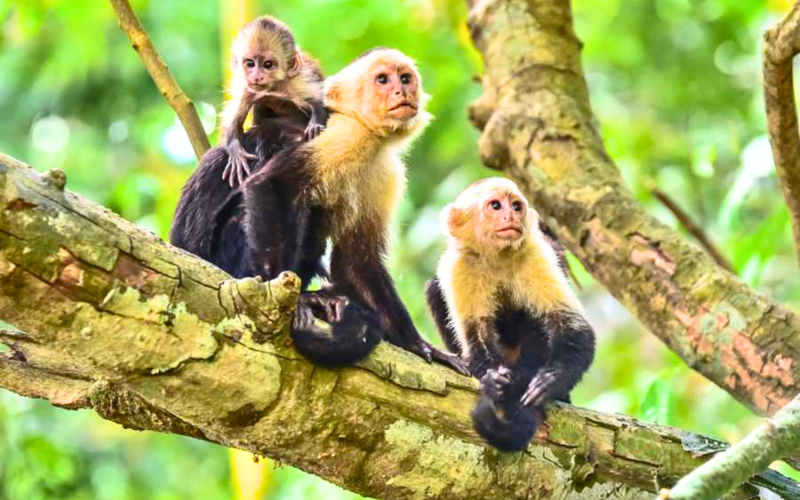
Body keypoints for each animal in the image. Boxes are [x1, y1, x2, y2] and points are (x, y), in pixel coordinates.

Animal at [220, 15, 327, 187]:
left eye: (268, 65)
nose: (257, 77)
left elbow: (318, 100)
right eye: (250, 63)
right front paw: (234, 149)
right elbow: (235, 120)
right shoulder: (246, 88)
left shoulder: (297, 80)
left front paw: (316, 123)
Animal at [236, 47, 468, 374]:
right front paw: (286, 295)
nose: (402, 91)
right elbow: (270, 184)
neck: (367, 135)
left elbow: (358, 260)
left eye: (405, 78)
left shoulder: (386, 174)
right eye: (382, 80)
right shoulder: (338, 137)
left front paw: (418, 345)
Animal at [425, 178, 595, 452]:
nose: (511, 216)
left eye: (516, 206)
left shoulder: (536, 254)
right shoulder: (459, 266)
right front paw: (492, 379)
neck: (498, 259)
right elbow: (476, 335)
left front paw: (551, 379)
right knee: (434, 289)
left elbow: (572, 326)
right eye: (495, 206)